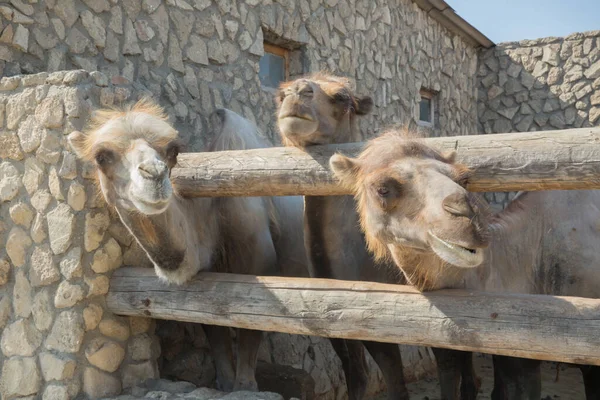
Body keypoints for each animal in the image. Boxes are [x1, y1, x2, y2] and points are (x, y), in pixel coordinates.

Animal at [69, 100, 310, 394]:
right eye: (102, 156)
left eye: (172, 151)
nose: (154, 174)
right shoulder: (206, 281)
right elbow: (214, 331)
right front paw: (225, 384)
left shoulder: (262, 268)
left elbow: (250, 331)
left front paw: (246, 386)